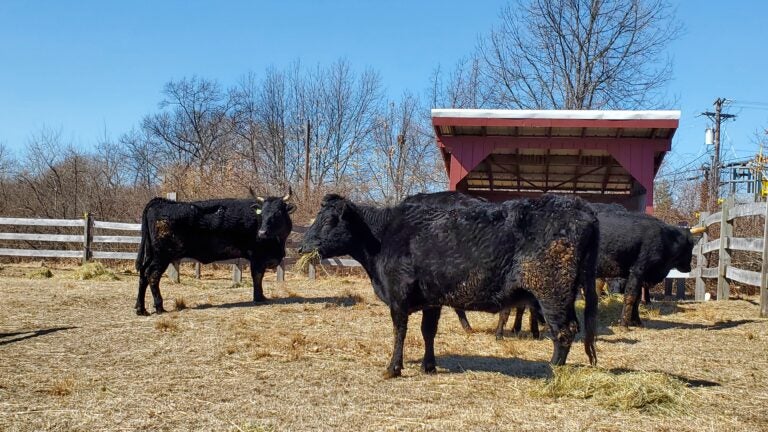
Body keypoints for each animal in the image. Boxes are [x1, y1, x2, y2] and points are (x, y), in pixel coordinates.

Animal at [135, 189, 294, 314]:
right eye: (263, 213)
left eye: (278, 212)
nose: (261, 233)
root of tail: (162, 202)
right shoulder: (257, 257)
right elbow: (257, 277)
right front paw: (259, 297)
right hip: (162, 255)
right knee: (152, 275)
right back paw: (159, 307)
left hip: (152, 254)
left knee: (143, 274)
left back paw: (140, 309)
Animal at [300, 193, 600, 378]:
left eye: (329, 220)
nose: (302, 246)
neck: (383, 237)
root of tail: (579, 205)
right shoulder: (432, 299)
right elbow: (428, 332)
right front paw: (428, 366)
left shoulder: (398, 296)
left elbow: (400, 332)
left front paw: (393, 368)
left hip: (552, 292)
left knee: (563, 331)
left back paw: (553, 370)